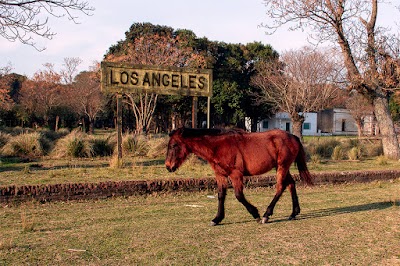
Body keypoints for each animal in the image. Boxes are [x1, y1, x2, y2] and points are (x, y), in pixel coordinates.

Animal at [165, 127, 312, 224]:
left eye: (173, 145)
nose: (168, 166)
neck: (218, 147)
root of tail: (293, 136)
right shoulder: (220, 175)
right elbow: (221, 195)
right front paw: (217, 218)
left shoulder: (235, 175)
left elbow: (239, 195)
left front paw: (256, 214)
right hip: (282, 167)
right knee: (291, 184)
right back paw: (293, 213)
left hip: (282, 166)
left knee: (280, 187)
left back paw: (266, 215)